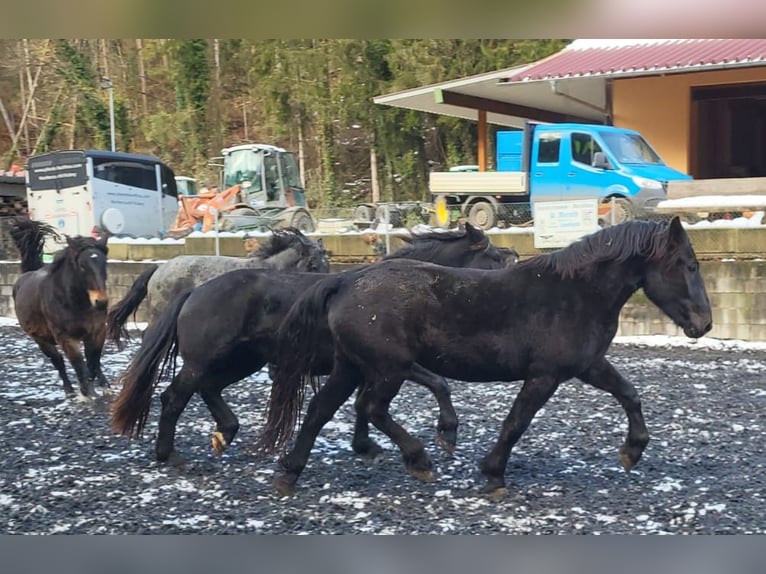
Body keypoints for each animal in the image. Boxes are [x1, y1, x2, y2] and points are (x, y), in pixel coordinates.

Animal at [8, 220, 109, 400]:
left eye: (105, 263)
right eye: (82, 266)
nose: (101, 302)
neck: (76, 303)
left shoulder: (98, 331)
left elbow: (94, 358)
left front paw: (104, 386)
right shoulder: (66, 338)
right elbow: (79, 364)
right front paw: (86, 393)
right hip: (42, 341)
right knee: (59, 362)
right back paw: (69, 391)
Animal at [111, 223, 520, 466]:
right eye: (494, 256)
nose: (515, 275)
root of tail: (194, 291)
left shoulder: (370, 367)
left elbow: (361, 404)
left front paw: (365, 445)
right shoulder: (393, 362)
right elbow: (438, 383)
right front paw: (445, 432)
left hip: (242, 360)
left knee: (209, 388)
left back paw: (225, 432)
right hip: (204, 358)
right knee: (175, 397)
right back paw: (168, 454)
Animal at [256, 218, 712, 498]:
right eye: (688, 265)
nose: (704, 323)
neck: (574, 294)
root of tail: (347, 280)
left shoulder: (587, 366)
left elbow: (629, 394)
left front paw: (632, 451)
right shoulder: (545, 376)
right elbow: (515, 423)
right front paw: (492, 473)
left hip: (353, 366)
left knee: (321, 409)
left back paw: (289, 474)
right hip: (387, 369)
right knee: (371, 407)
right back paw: (419, 459)